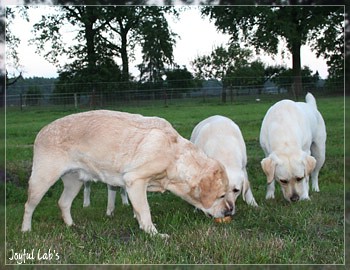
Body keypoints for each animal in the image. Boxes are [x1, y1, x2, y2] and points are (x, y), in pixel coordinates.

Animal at [22, 109, 235, 236]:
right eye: (221, 195)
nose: (229, 211)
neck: (174, 154)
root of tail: (41, 131)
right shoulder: (135, 180)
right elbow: (146, 211)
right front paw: (154, 234)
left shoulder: (135, 186)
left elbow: (138, 210)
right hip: (42, 180)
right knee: (29, 206)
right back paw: (26, 230)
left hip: (75, 181)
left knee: (63, 203)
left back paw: (71, 226)